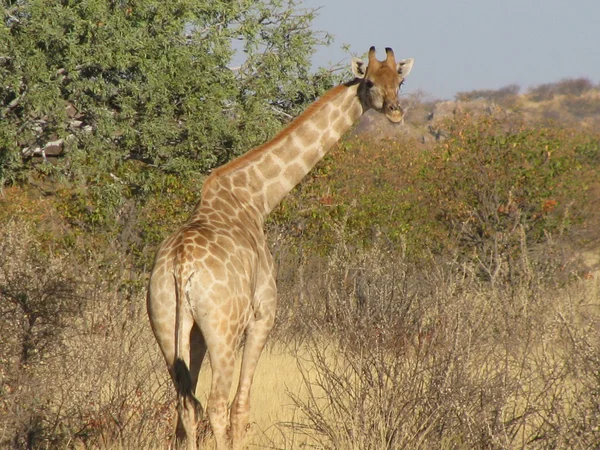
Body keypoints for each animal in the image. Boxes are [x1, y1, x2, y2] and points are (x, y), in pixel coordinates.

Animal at [148, 46, 414, 450]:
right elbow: (242, 408)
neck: (256, 199)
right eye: (369, 82)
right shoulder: (264, 314)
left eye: (399, 80)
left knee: (186, 404)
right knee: (217, 404)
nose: (396, 112)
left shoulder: (193, 333)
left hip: (167, 324)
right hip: (223, 331)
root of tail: (180, 266)